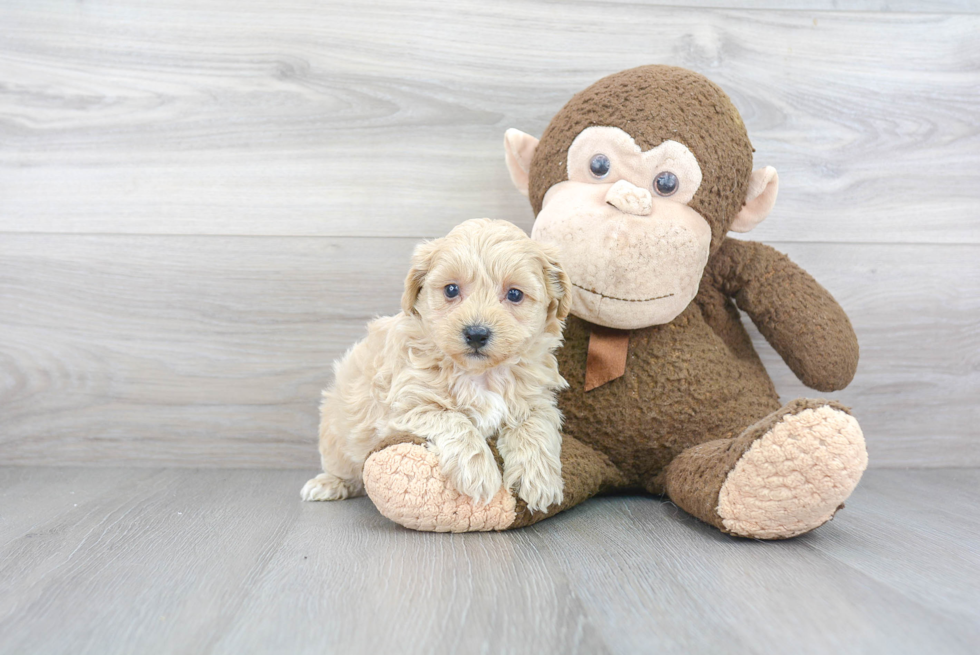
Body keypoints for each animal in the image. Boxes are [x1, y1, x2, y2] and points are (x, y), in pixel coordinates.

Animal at [302, 219, 572, 512]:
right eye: (451, 289)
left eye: (514, 294)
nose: (476, 333)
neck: (482, 375)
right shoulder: (408, 404)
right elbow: (454, 419)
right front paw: (478, 473)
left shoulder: (536, 399)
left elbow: (535, 427)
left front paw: (539, 479)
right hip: (336, 431)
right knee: (343, 467)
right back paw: (328, 484)